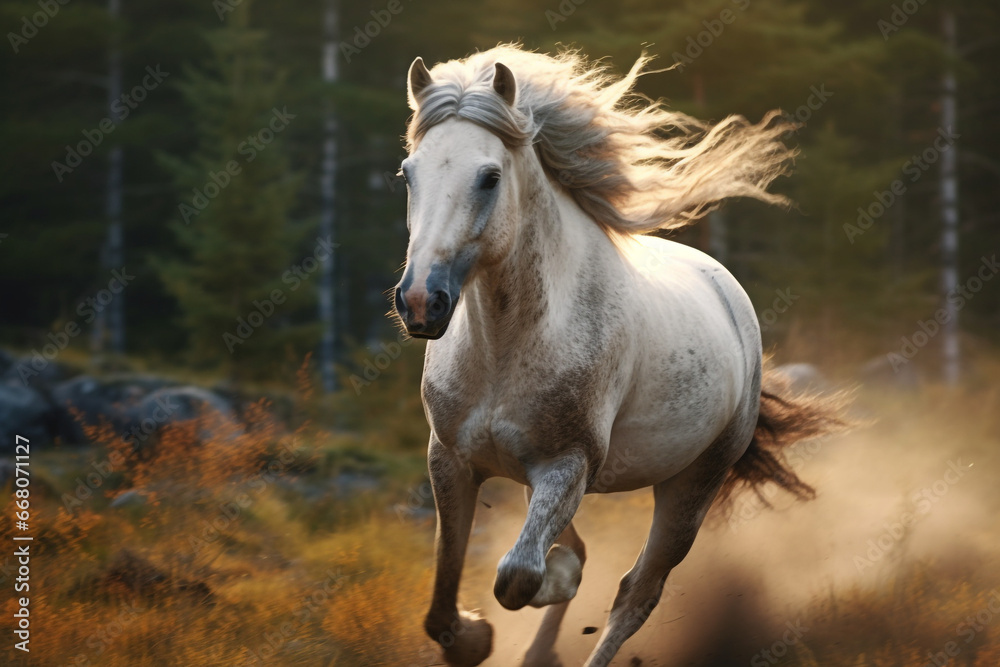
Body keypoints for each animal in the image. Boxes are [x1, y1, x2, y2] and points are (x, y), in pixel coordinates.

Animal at [392, 44, 844, 667]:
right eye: (408, 173)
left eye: (489, 177)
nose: (420, 302)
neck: (507, 346)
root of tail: (727, 290)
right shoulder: (452, 459)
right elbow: (442, 595)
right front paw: (475, 636)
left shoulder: (569, 464)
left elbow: (520, 575)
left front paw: (535, 592)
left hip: (693, 482)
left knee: (637, 593)